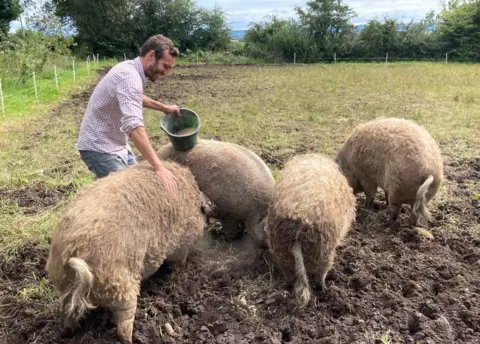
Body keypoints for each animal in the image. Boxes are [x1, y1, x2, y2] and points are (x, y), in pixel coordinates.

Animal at [46, 162, 212, 344]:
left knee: (68, 314)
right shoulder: (182, 243)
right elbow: (179, 260)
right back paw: (133, 339)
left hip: (64, 288)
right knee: (124, 326)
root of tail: (75, 252)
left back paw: (65, 333)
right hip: (122, 287)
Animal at [264, 153, 354, 310]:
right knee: (320, 276)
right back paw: (325, 289)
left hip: (278, 251)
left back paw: (286, 286)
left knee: (288, 276)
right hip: (325, 252)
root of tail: (297, 233)